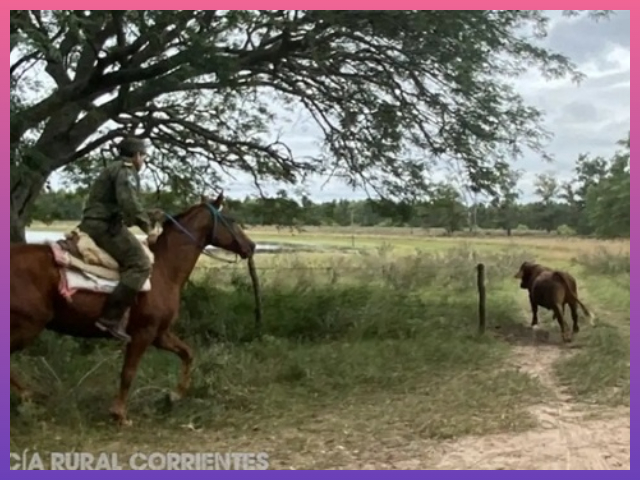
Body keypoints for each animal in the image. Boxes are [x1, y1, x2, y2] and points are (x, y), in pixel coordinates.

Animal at [10, 192, 258, 426]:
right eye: (231, 219)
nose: (251, 246)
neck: (164, 270)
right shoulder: (142, 334)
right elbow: (128, 372)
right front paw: (119, 414)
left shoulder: (160, 334)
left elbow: (187, 354)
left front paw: (175, 395)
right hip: (27, 327)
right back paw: (29, 396)